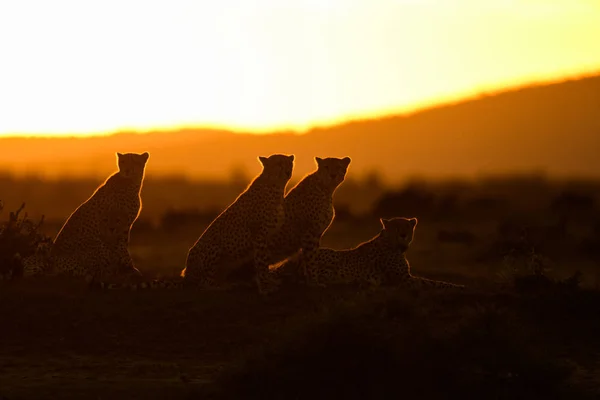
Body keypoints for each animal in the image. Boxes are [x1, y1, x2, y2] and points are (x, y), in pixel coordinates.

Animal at [47, 152, 150, 282]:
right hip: (96, 243)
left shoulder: (125, 224)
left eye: (134, 161)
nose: (127, 170)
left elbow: (123, 245)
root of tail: (50, 260)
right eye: (123, 162)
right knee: (94, 272)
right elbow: (122, 246)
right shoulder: (121, 224)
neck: (132, 183)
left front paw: (126, 267)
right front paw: (129, 267)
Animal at [183, 153, 296, 294]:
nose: (287, 172)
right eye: (279, 163)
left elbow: (265, 259)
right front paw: (266, 286)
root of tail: (187, 271)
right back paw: (223, 287)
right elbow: (261, 262)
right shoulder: (259, 235)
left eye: (289, 163)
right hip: (214, 249)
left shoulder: (267, 236)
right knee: (204, 284)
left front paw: (269, 281)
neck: (276, 187)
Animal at [274, 217, 466, 290]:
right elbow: (433, 282)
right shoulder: (404, 279)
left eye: (406, 226)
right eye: (396, 227)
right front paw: (460, 287)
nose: (403, 234)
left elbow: (433, 281)